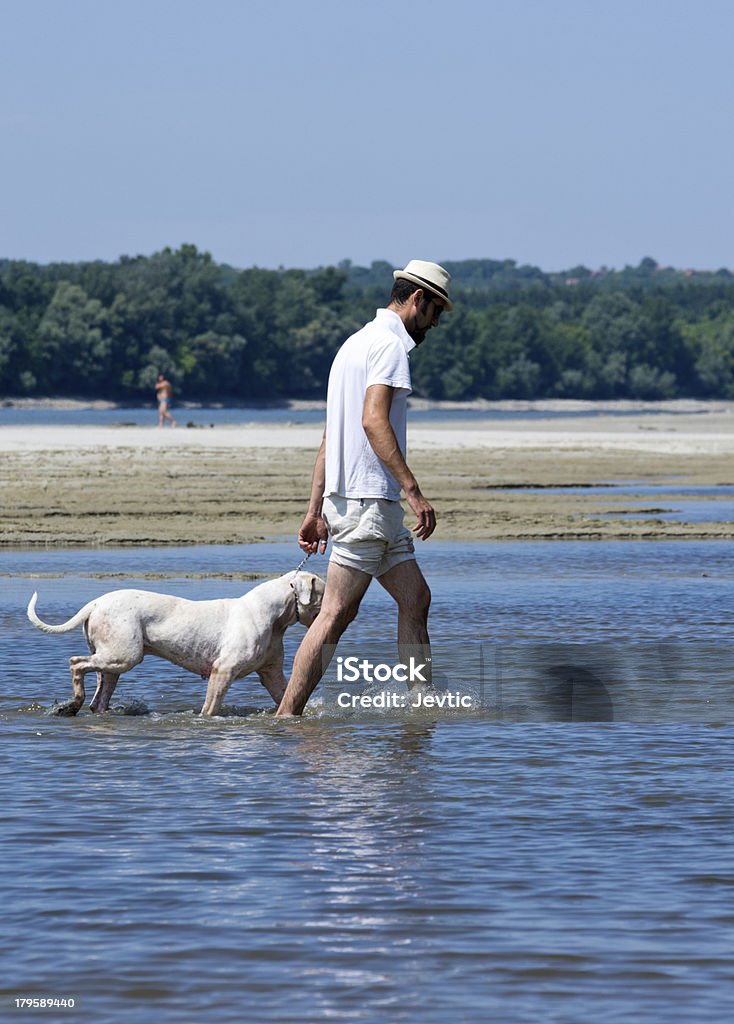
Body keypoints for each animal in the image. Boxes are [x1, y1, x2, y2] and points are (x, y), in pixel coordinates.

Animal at [27, 573, 323, 716]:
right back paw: (71, 705)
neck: (274, 615)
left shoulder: (271, 673)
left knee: (99, 695)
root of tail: (95, 603)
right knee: (75, 664)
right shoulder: (223, 671)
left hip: (113, 662)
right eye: (323, 589)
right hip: (124, 655)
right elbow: (210, 707)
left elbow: (286, 694)